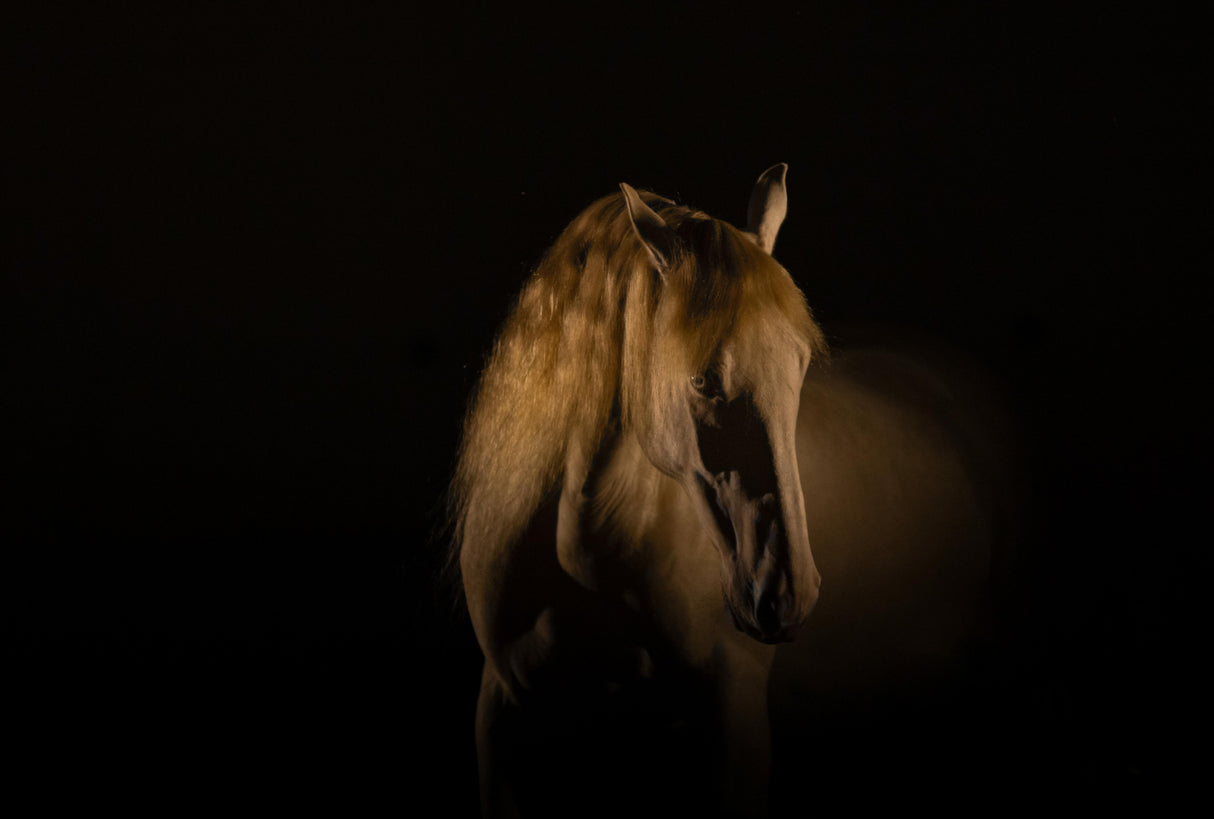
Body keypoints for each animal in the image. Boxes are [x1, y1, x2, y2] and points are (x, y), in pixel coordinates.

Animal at [447, 166, 1017, 817]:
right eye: (700, 380)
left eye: (800, 364)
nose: (786, 592)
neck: (585, 553)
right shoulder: (502, 710)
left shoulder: (734, 714)